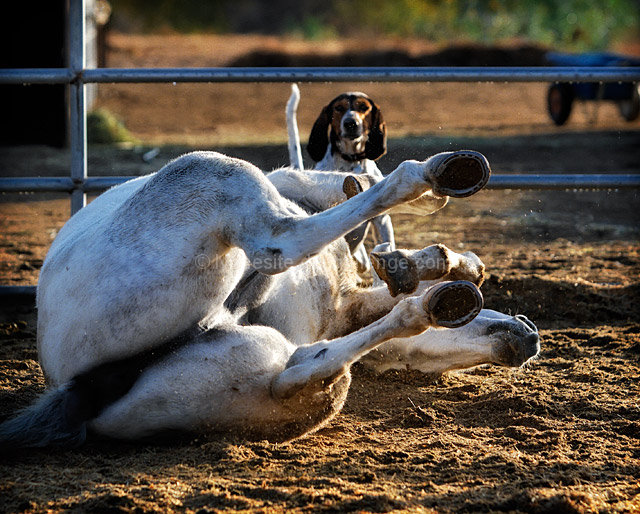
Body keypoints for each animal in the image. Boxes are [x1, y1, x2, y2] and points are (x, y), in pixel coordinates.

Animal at [0, 146, 536, 446]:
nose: (527, 337)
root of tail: (75, 387)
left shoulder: (345, 307)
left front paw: (442, 270)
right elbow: (352, 192)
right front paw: (434, 256)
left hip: (271, 371)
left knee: (304, 371)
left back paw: (431, 303)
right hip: (210, 173)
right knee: (280, 243)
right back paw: (435, 177)